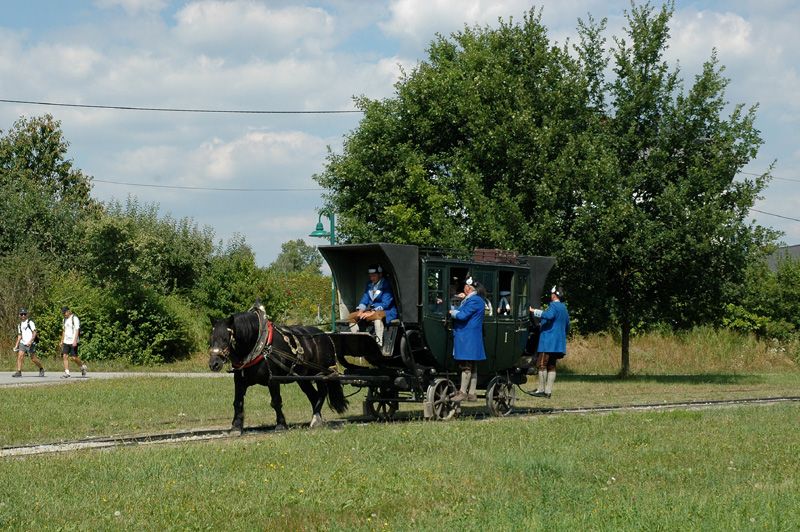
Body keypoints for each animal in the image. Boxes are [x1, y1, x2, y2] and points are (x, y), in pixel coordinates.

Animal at [206, 306, 346, 434]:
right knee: (313, 395)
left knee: (322, 393)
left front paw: (281, 425)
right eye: (211, 339)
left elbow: (276, 401)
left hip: (320, 374)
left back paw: (316, 419)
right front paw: (236, 426)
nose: (214, 364)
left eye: (225, 338)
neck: (260, 345)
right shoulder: (239, 380)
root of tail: (325, 336)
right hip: (302, 378)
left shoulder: (273, 379)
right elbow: (237, 402)